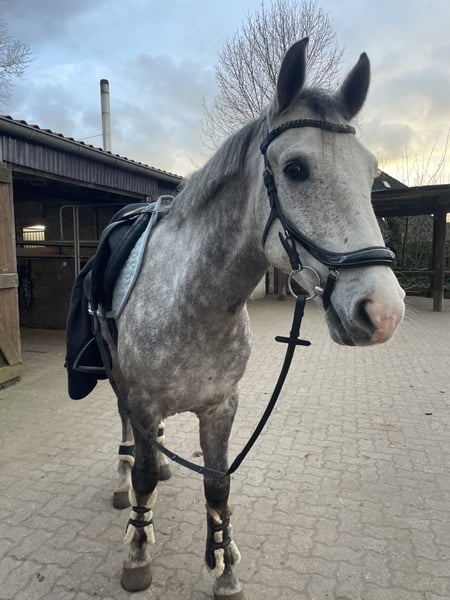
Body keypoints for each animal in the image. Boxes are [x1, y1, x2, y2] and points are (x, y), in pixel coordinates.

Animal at [91, 38, 405, 598]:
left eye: (371, 173)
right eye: (296, 168)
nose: (383, 311)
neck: (194, 302)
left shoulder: (222, 406)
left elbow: (218, 485)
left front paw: (224, 567)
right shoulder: (144, 400)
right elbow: (145, 475)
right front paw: (138, 552)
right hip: (119, 379)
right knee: (129, 436)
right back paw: (124, 479)